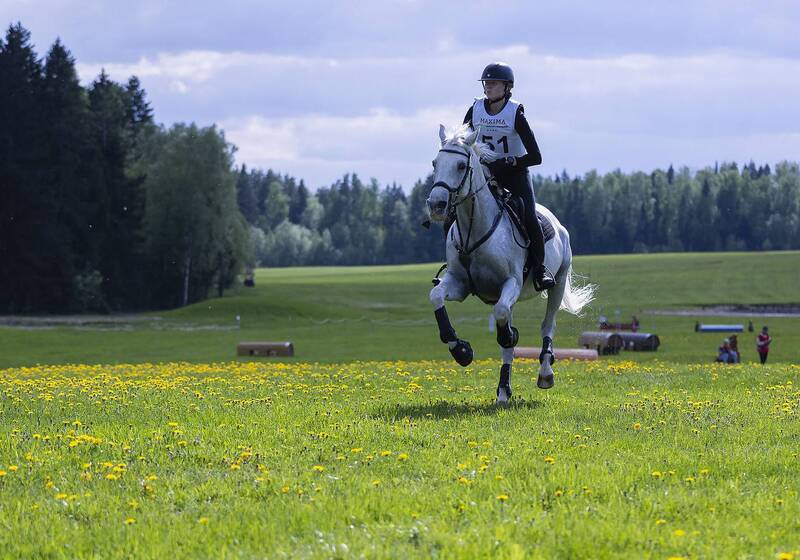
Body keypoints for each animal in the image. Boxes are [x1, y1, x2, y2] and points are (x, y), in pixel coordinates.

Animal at [426, 124, 595, 404]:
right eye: (434, 163)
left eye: (461, 166)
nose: (436, 205)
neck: (476, 228)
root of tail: (557, 223)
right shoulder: (459, 284)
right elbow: (436, 296)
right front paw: (461, 350)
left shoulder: (512, 283)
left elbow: (504, 321)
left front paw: (508, 335)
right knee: (508, 343)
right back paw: (503, 392)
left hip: (558, 282)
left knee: (547, 325)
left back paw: (545, 373)